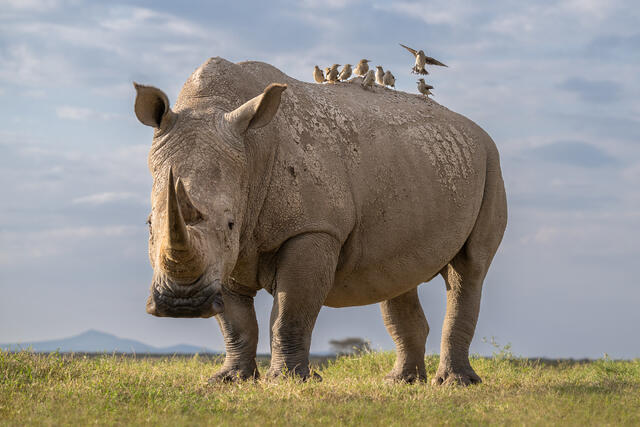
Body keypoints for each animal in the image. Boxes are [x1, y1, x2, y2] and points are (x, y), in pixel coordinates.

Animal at [133, 57, 507, 385]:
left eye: (229, 223)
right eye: (150, 224)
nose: (182, 304)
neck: (251, 149)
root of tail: (476, 131)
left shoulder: (312, 229)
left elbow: (290, 312)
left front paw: (288, 380)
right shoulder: (227, 252)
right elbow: (236, 322)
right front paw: (230, 379)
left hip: (491, 163)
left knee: (469, 270)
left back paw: (456, 383)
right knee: (399, 277)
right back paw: (402, 382)